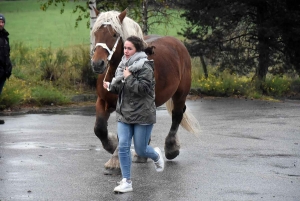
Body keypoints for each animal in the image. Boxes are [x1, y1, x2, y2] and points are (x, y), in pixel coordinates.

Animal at [90, 8, 200, 171]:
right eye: (96, 32)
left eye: (115, 34)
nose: (98, 64)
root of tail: (177, 43)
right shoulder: (103, 101)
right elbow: (99, 129)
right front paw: (112, 146)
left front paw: (115, 159)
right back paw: (142, 153)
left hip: (180, 94)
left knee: (177, 115)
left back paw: (171, 148)